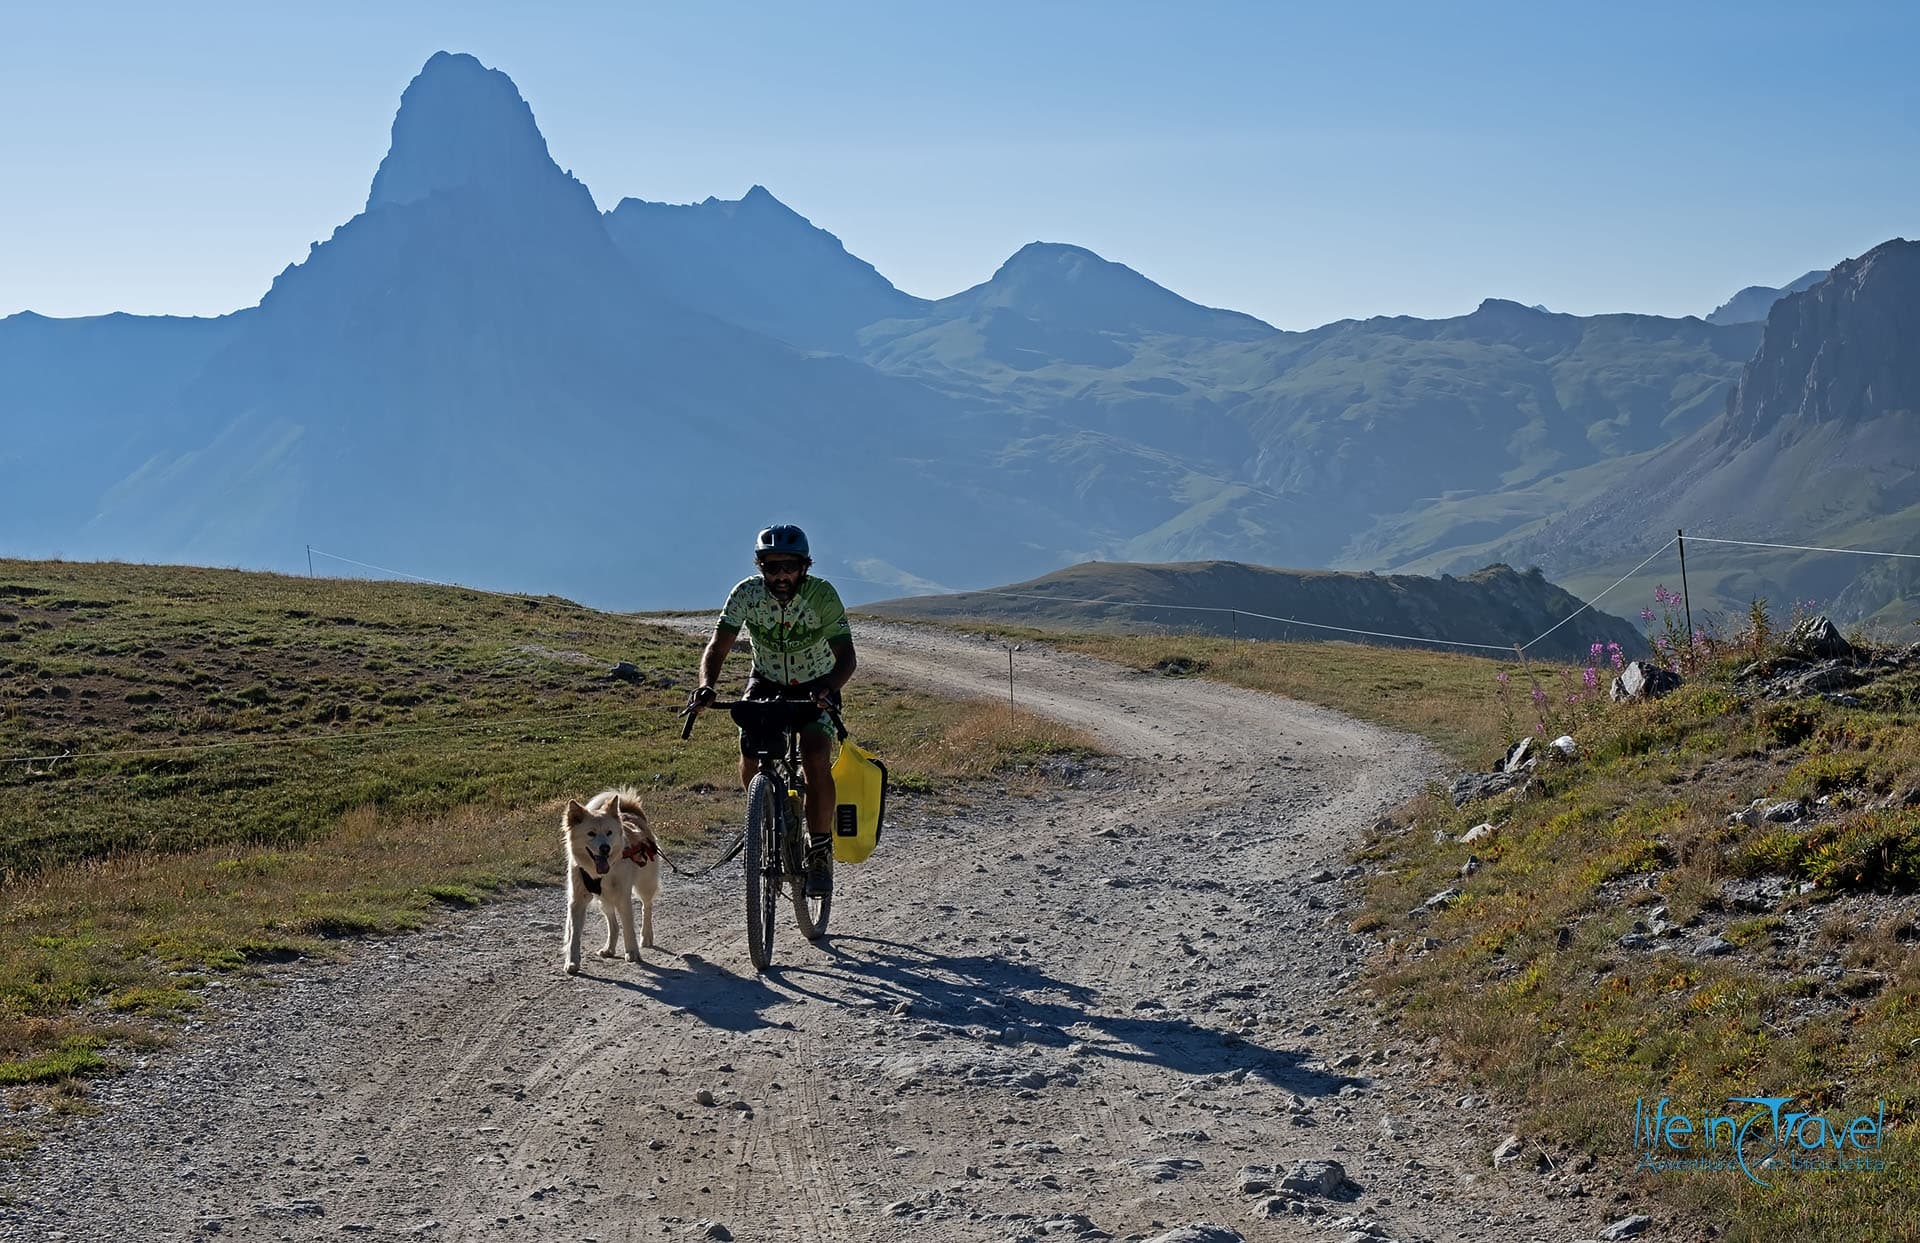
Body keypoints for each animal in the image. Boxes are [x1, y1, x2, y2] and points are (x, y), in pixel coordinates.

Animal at [560, 791, 660, 975]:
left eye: (609, 832)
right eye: (591, 833)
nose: (605, 848)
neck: (600, 874)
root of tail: (631, 813)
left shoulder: (623, 897)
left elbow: (628, 927)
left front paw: (632, 952)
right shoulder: (577, 901)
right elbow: (574, 935)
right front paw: (572, 962)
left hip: (645, 884)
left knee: (646, 907)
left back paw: (646, 935)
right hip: (604, 899)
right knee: (613, 924)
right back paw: (609, 949)